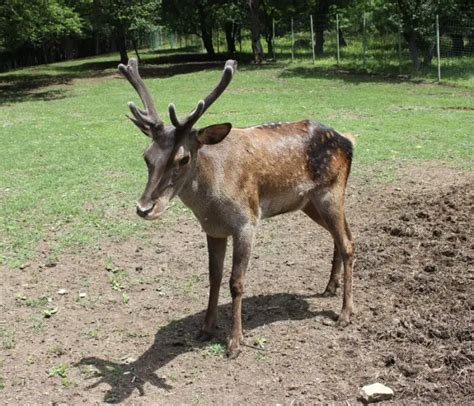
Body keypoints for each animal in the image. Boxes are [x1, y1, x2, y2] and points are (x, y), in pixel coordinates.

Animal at [118, 58, 356, 356]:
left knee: (347, 243)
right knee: (342, 234)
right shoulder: (213, 229)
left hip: (331, 192)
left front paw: (234, 341)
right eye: (146, 156)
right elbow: (214, 276)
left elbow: (236, 281)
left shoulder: (247, 221)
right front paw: (206, 329)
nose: (144, 207)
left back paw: (345, 313)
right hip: (310, 202)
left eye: (183, 158)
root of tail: (349, 140)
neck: (211, 203)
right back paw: (330, 287)